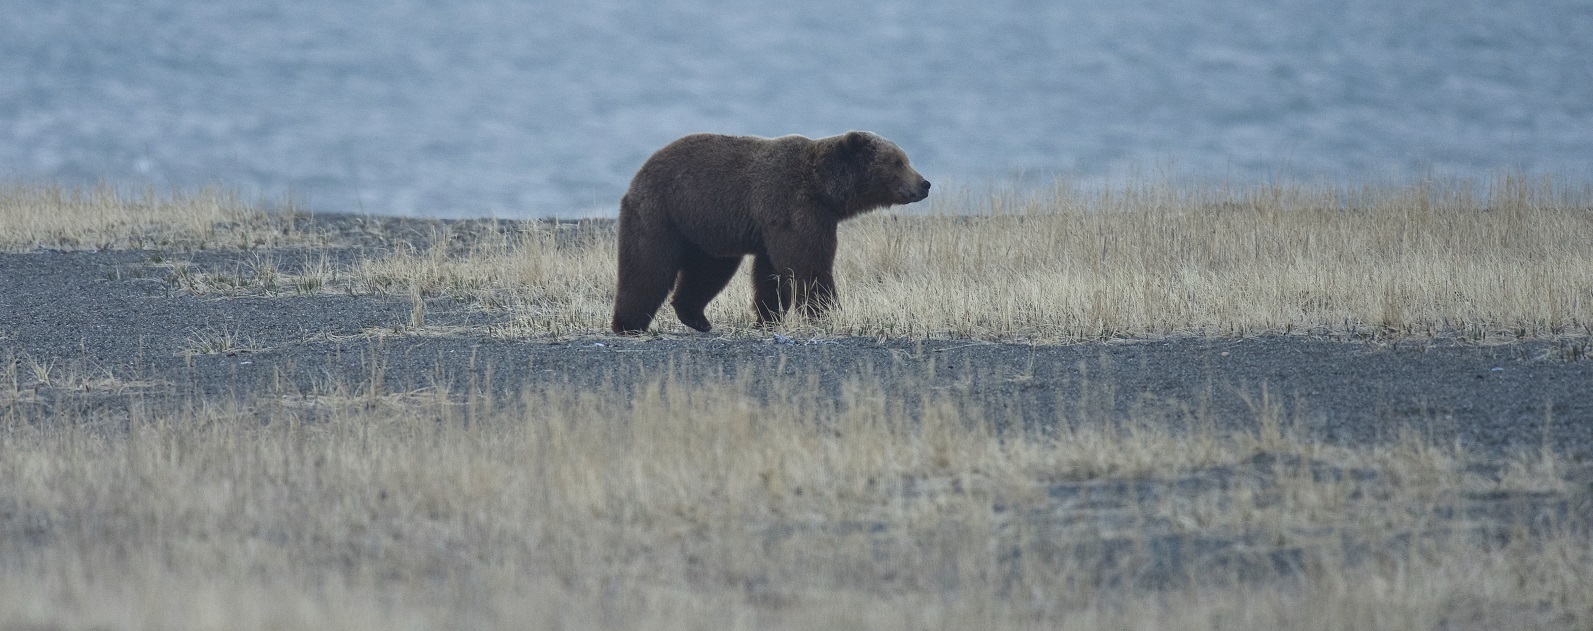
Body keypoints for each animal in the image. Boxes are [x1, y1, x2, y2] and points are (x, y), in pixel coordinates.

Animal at [608, 129, 930, 334]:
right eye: (898, 161)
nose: (924, 183)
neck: (824, 189)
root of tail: (639, 172)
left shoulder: (781, 222)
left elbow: (772, 274)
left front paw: (768, 317)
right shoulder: (791, 205)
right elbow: (808, 264)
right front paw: (825, 310)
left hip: (708, 230)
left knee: (707, 271)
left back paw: (695, 317)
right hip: (662, 213)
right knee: (648, 266)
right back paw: (629, 324)